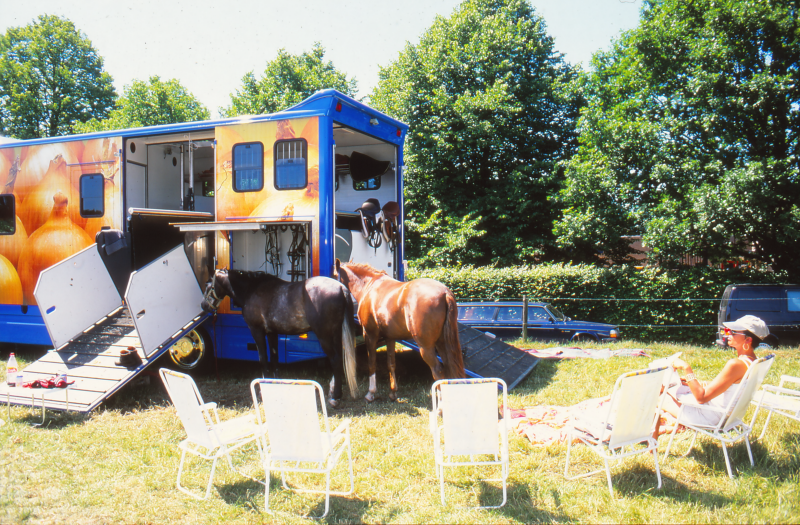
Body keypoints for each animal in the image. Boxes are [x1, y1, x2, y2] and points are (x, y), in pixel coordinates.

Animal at [202, 270, 358, 406]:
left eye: (208, 285)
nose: (203, 306)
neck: (252, 289)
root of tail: (341, 288)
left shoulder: (257, 331)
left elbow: (263, 358)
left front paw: (262, 388)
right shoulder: (272, 332)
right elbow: (274, 358)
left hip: (324, 335)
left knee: (335, 360)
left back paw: (335, 396)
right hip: (336, 334)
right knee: (339, 359)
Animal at [334, 258, 466, 402]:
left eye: (333, 275)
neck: (369, 285)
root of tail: (444, 293)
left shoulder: (370, 334)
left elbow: (372, 363)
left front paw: (371, 393)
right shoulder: (390, 337)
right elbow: (391, 364)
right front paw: (393, 392)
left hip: (426, 347)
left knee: (438, 370)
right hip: (442, 343)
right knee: (449, 367)